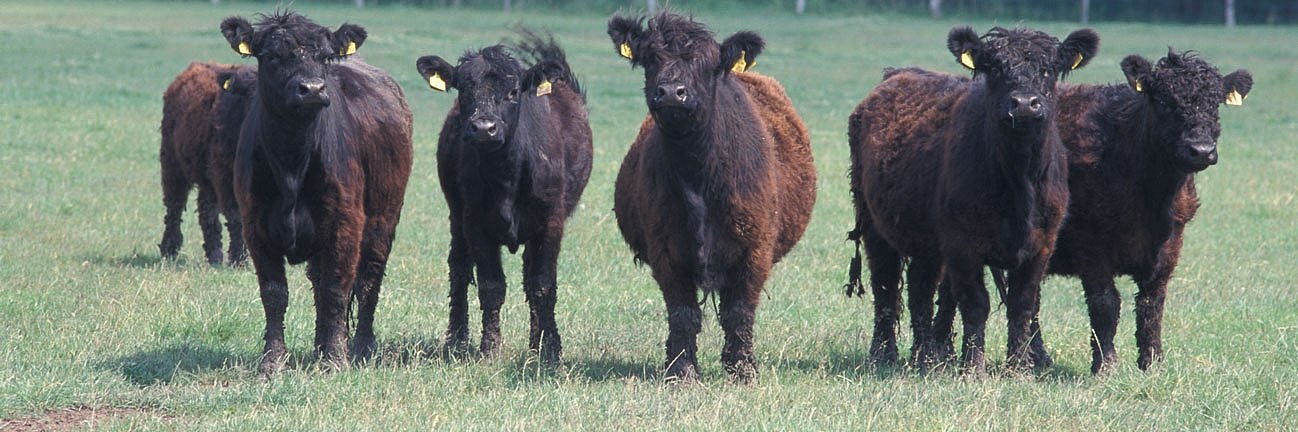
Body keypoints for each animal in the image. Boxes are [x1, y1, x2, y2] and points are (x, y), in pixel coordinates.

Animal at [157, 60, 250, 265]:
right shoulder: (226, 178)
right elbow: (236, 217)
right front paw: (239, 259)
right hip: (172, 167)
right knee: (174, 207)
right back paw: (169, 250)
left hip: (206, 178)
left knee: (206, 211)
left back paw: (214, 255)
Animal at [218, 10, 410, 373]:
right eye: (273, 55)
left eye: (324, 57)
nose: (312, 89)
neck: (292, 164)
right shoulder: (256, 227)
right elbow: (275, 293)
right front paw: (273, 359)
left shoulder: (345, 224)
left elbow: (336, 289)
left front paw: (336, 359)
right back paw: (320, 347)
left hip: (384, 221)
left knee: (368, 282)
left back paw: (360, 347)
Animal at [415, 28, 594, 360]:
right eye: (463, 90)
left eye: (513, 92)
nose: (484, 128)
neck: (506, 177)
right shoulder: (474, 222)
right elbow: (491, 285)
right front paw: (489, 347)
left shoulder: (551, 222)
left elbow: (542, 283)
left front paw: (550, 348)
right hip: (455, 215)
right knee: (459, 267)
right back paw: (456, 338)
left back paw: (535, 341)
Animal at [604, 10, 809, 381]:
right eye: (650, 58)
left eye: (708, 63)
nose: (672, 92)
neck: (698, 174)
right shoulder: (665, 249)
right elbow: (683, 313)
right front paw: (681, 370)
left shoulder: (755, 248)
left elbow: (739, 311)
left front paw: (742, 370)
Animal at [846, 25, 1100, 371]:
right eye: (994, 68)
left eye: (1049, 69)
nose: (1024, 103)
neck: (1018, 180)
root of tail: (896, 74)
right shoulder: (962, 244)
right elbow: (976, 303)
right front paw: (972, 366)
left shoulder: (1042, 244)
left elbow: (1022, 304)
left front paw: (1018, 366)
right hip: (873, 223)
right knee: (885, 286)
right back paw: (884, 354)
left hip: (926, 241)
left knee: (920, 290)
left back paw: (925, 356)